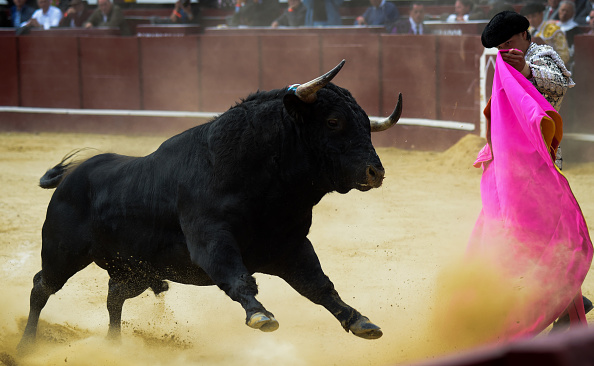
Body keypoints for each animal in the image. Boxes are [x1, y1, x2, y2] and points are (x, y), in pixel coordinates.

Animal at [17, 60, 402, 352]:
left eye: (367, 125)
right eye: (333, 121)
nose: (376, 171)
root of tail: (71, 176)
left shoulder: (291, 247)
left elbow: (320, 286)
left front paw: (361, 321)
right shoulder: (210, 239)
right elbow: (237, 277)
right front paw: (261, 315)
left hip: (135, 270)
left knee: (114, 298)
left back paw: (114, 346)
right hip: (62, 253)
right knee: (41, 287)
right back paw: (26, 345)